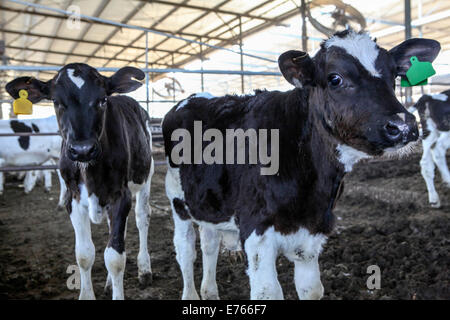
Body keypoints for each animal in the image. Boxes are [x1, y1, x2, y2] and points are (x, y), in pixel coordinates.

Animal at [5, 63, 155, 300]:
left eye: (103, 99)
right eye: (56, 101)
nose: (82, 149)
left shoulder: (120, 195)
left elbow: (115, 258)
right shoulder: (73, 198)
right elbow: (84, 254)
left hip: (146, 175)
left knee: (142, 217)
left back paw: (144, 270)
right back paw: (110, 283)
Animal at [163, 30, 440, 300]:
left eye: (394, 75)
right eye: (335, 79)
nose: (403, 126)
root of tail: (196, 97)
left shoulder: (313, 231)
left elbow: (312, 288)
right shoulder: (256, 230)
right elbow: (268, 291)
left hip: (208, 202)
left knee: (209, 244)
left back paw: (210, 292)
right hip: (178, 202)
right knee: (185, 251)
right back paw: (191, 295)